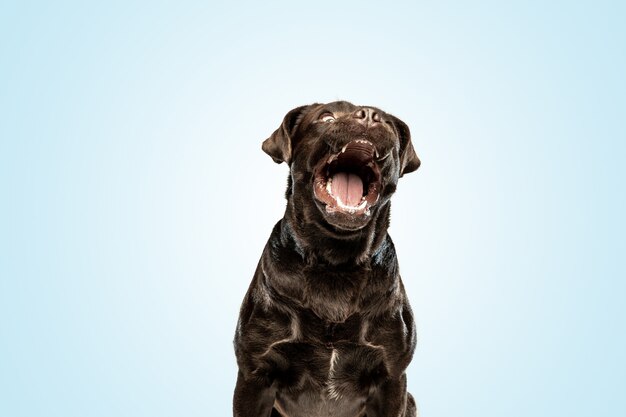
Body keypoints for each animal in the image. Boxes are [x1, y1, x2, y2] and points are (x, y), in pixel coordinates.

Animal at [233, 101, 420, 416]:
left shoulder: (392, 379)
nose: (370, 116)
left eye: (388, 124)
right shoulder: (253, 376)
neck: (336, 262)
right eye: (326, 117)